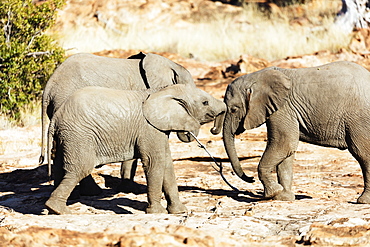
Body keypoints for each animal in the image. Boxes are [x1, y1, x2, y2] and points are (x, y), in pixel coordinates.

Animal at [45, 83, 227, 214]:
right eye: (205, 103)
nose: (213, 130)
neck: (162, 91)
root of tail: (56, 117)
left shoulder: (159, 129)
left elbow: (167, 164)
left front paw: (180, 212)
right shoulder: (149, 128)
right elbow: (155, 162)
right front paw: (157, 213)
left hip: (66, 136)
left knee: (60, 166)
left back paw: (53, 209)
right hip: (79, 135)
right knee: (81, 168)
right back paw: (59, 210)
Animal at [212, 61, 370, 205]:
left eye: (234, 109)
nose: (250, 179)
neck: (256, 77)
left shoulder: (283, 109)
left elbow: (284, 144)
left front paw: (272, 193)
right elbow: (287, 152)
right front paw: (283, 197)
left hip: (358, 119)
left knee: (362, 153)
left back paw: (363, 201)